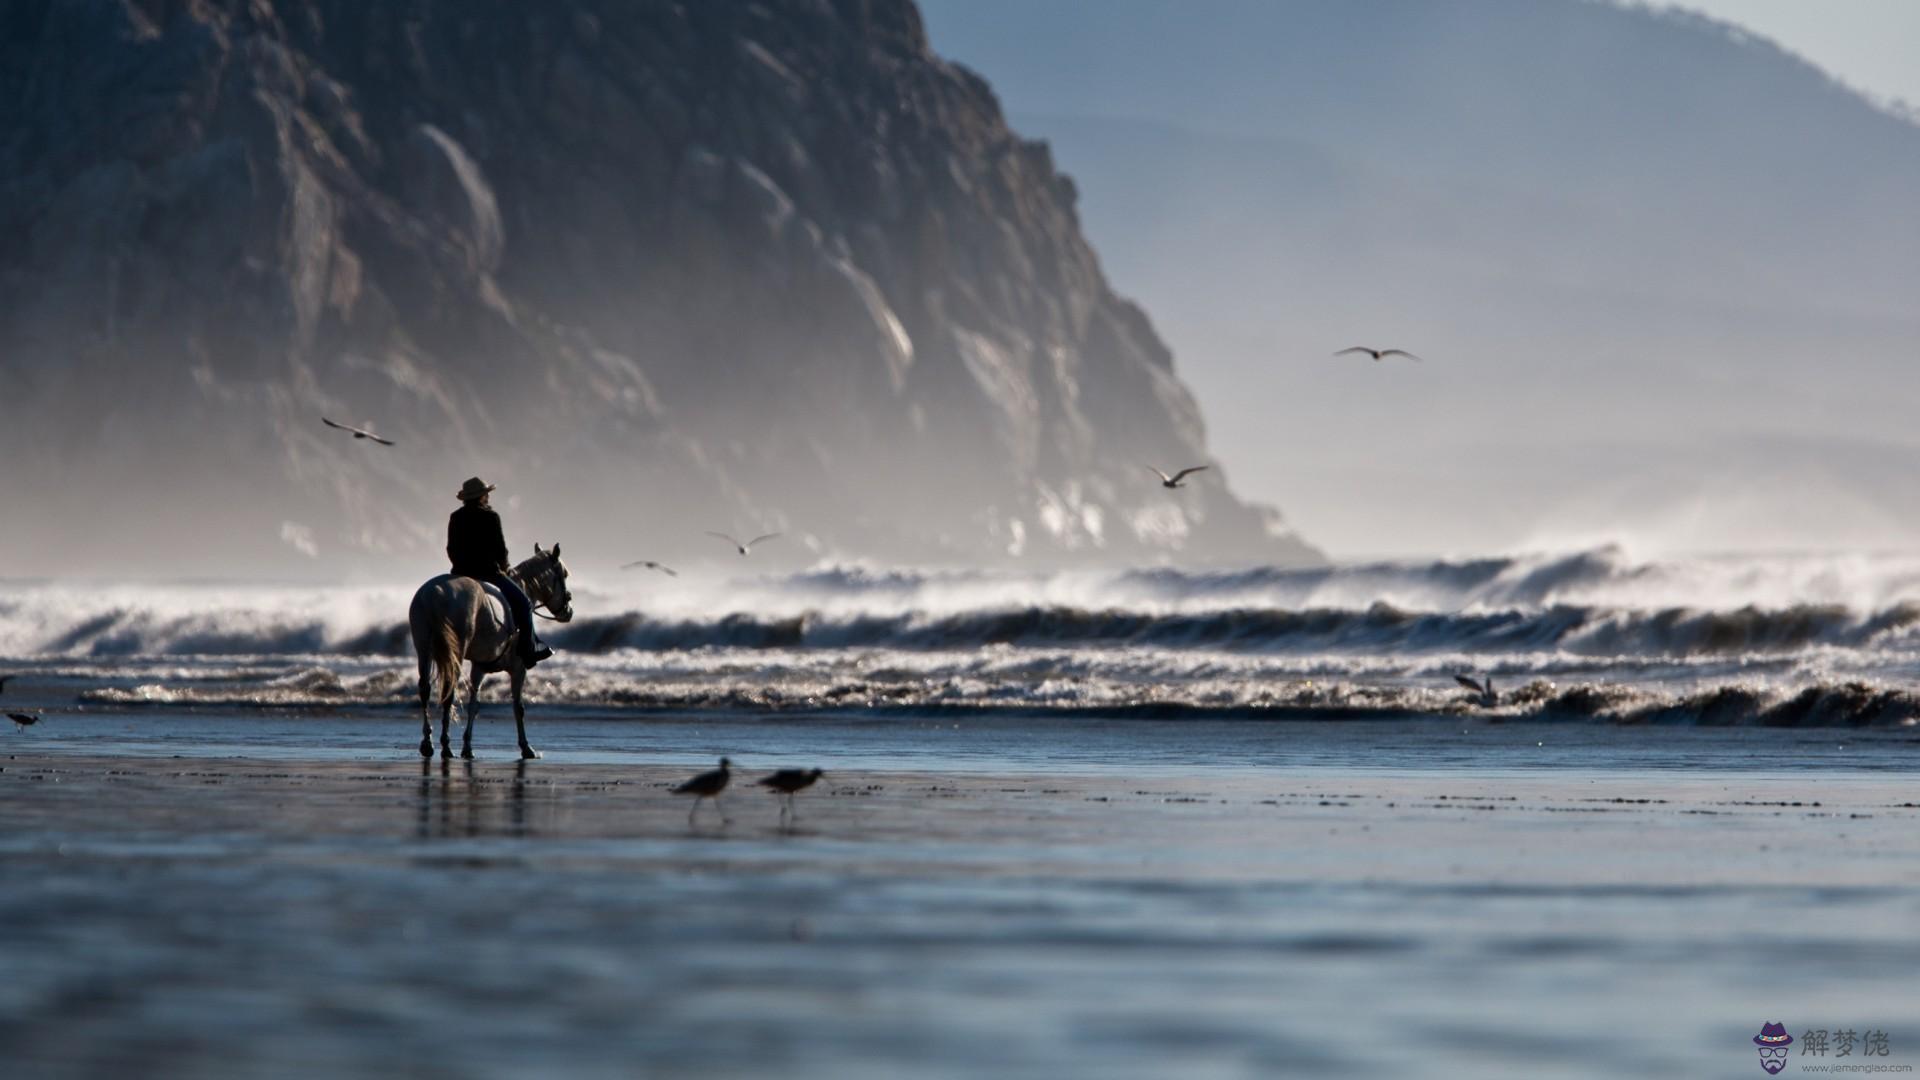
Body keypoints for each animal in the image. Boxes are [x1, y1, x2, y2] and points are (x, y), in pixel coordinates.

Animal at [407, 538, 572, 757]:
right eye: (564, 574)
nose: (568, 611)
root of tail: (434, 594)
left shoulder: (479, 668)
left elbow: (474, 705)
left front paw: (467, 746)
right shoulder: (519, 667)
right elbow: (518, 707)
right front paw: (526, 747)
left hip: (423, 648)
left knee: (425, 689)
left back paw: (428, 742)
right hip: (455, 651)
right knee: (449, 691)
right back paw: (445, 745)